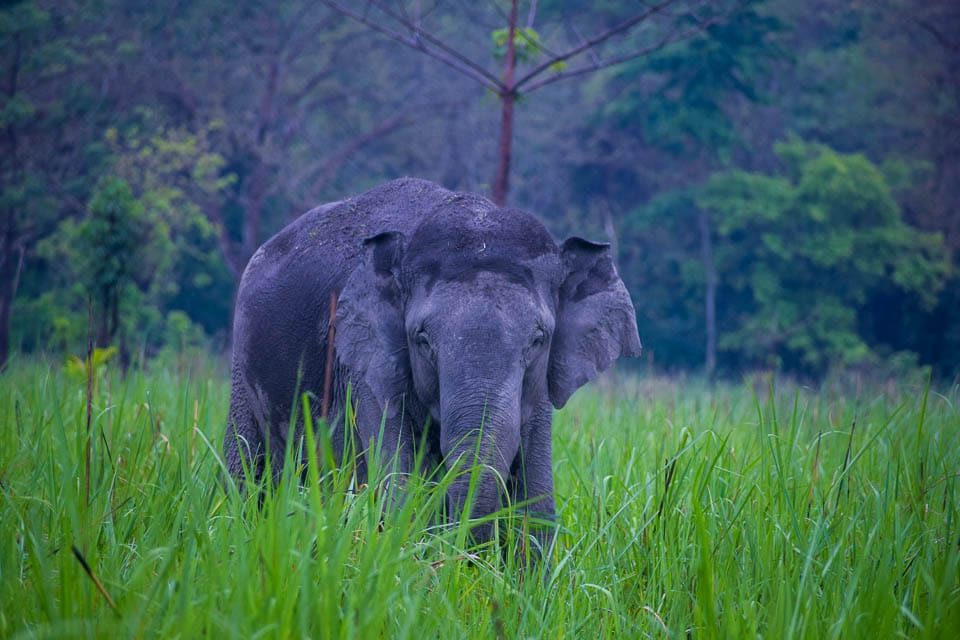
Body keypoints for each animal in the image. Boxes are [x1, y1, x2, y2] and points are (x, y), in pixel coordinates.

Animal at [224, 178, 640, 548]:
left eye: (539, 339)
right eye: (422, 339)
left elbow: (536, 506)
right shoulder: (365, 366)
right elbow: (400, 490)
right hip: (241, 370)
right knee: (247, 474)